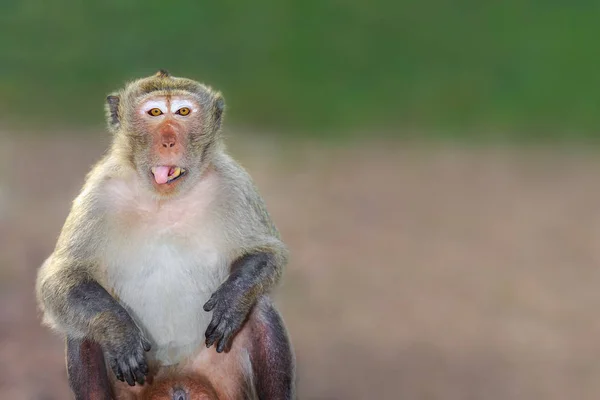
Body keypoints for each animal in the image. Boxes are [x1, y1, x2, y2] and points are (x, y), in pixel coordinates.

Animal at [34, 70, 296, 398]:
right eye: (155, 112)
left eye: (183, 112)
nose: (169, 141)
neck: (164, 201)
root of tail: (176, 378)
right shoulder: (98, 193)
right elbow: (62, 278)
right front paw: (118, 329)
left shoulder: (234, 184)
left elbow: (267, 253)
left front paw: (233, 297)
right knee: (81, 326)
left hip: (224, 379)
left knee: (259, 307)